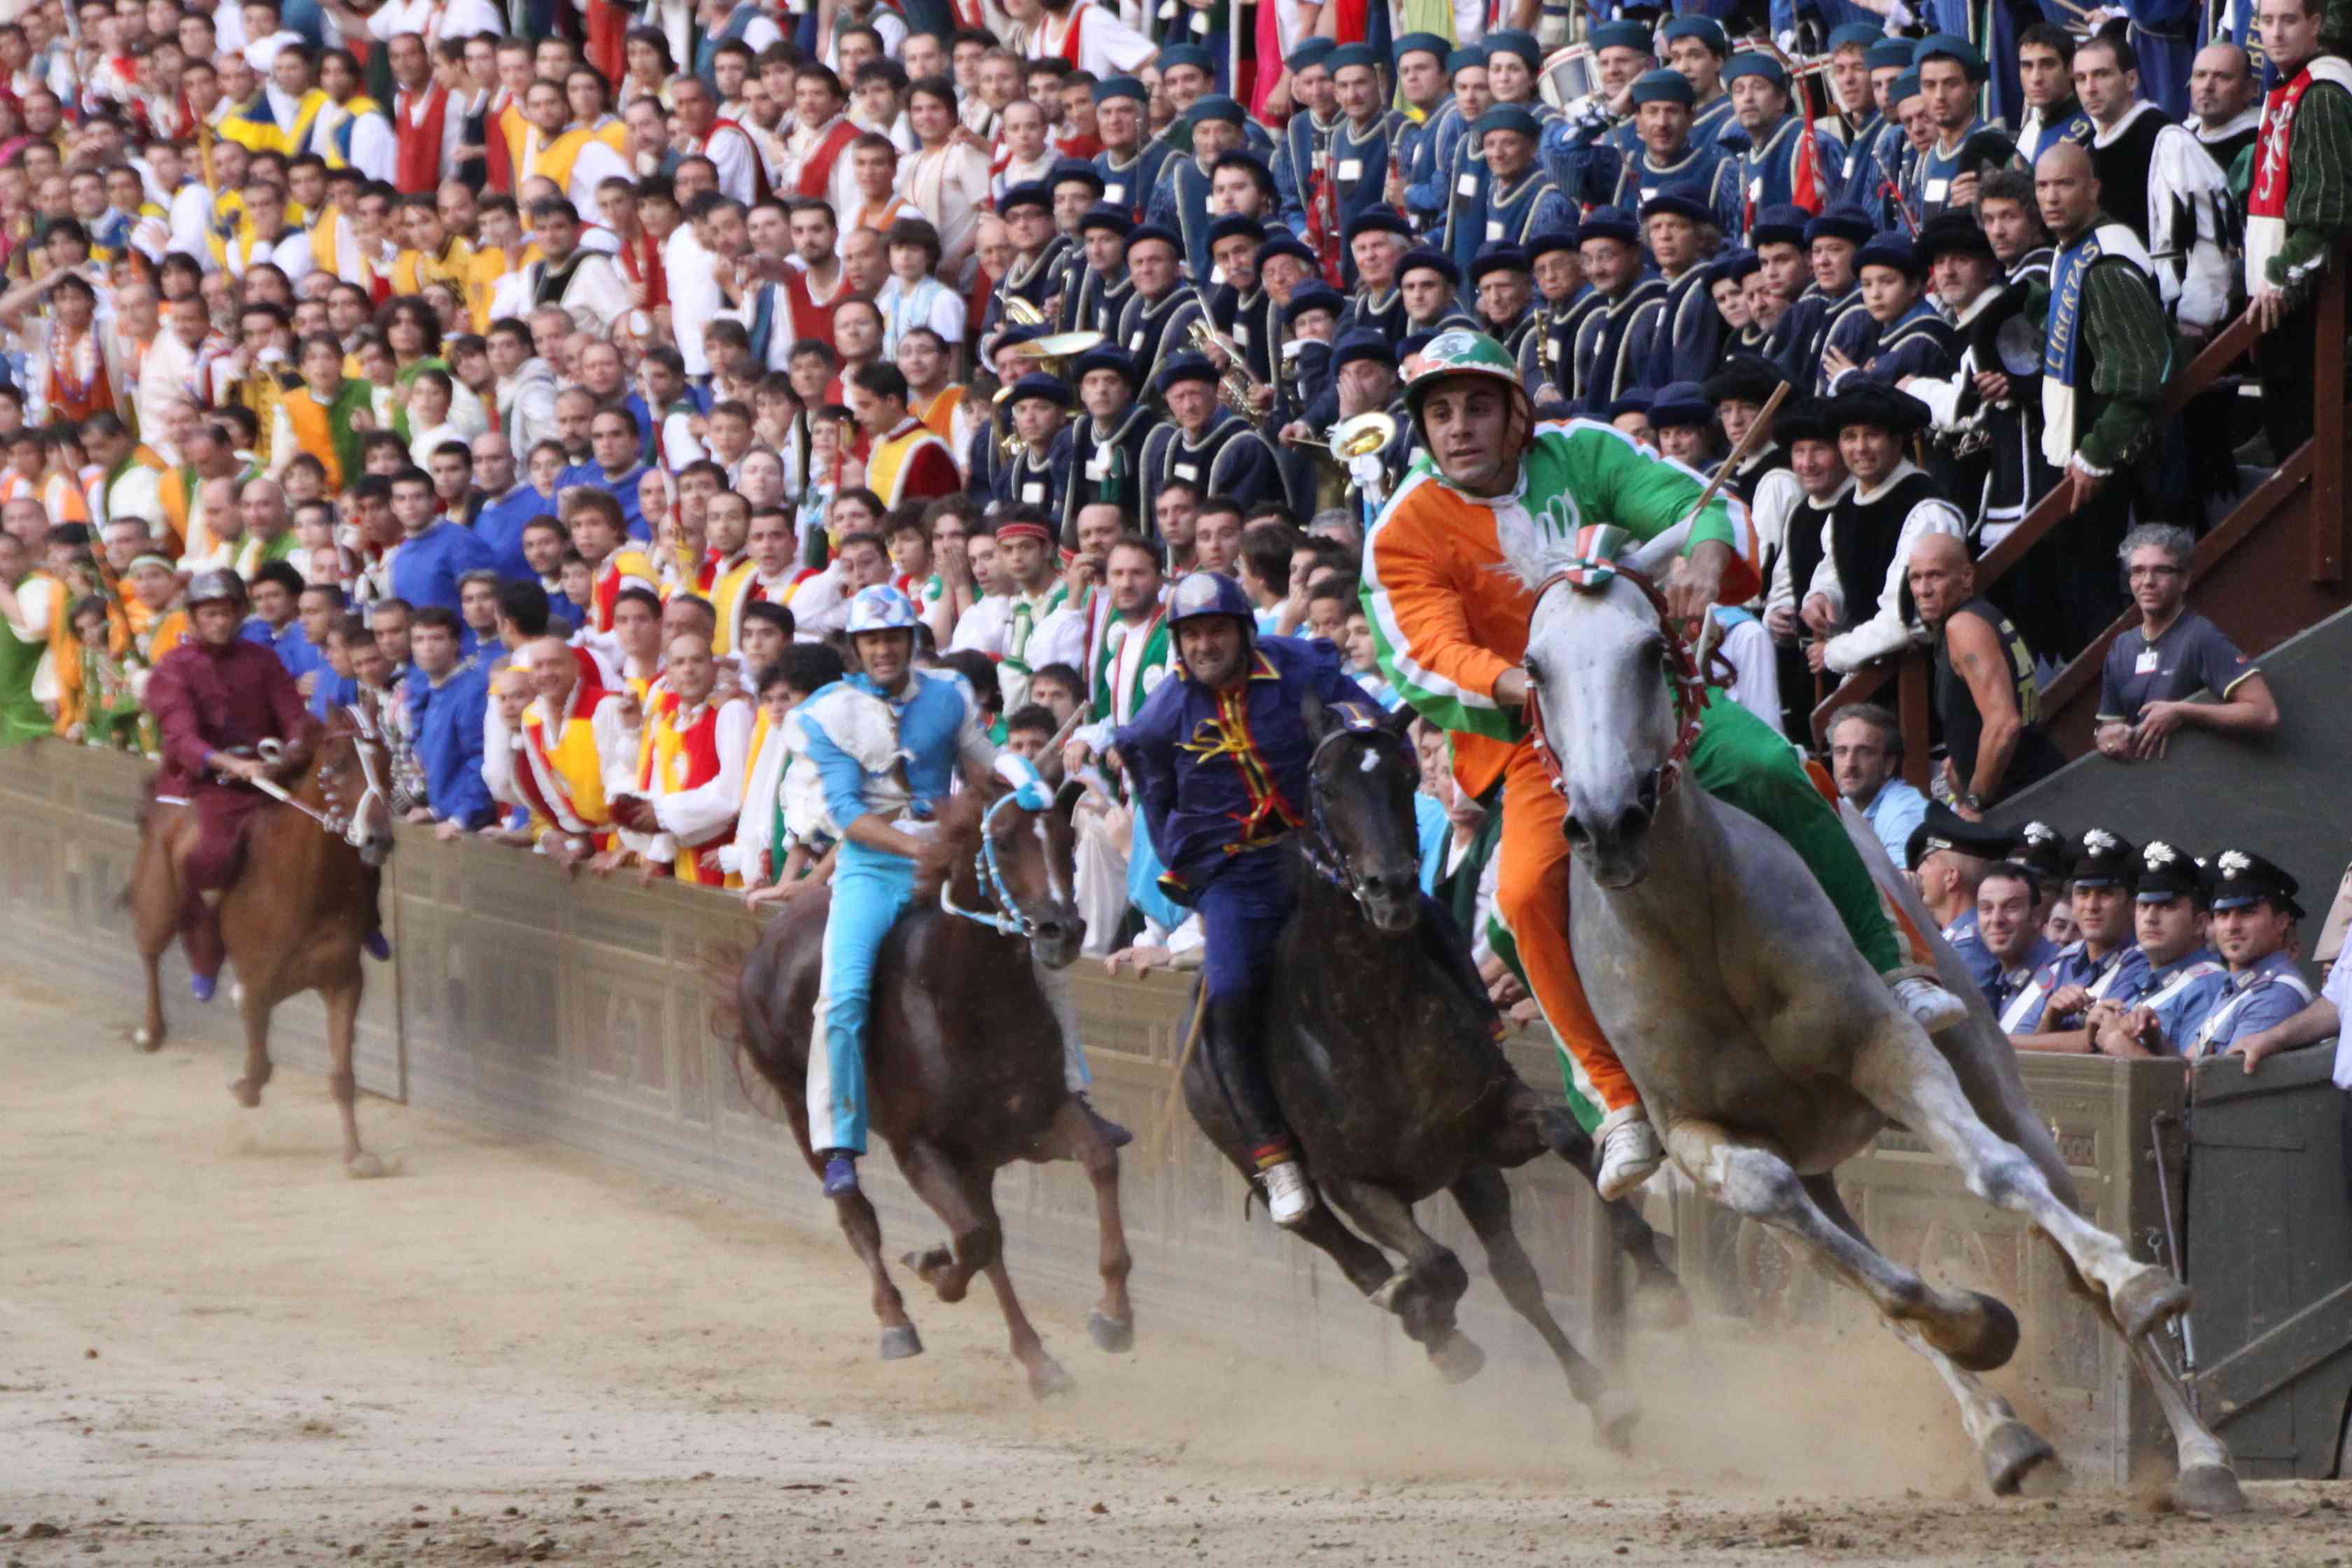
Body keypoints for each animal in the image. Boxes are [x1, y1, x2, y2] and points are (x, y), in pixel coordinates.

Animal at [125, 705, 397, 1170]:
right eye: (337, 765)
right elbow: (258, 1059)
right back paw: (152, 1030)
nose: (378, 837)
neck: (303, 887)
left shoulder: (344, 980)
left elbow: (342, 1074)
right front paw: (245, 1087)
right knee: (149, 950)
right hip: (158, 897)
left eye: (387, 763)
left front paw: (357, 1155)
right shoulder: (257, 983)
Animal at [734, 771, 1138, 1401]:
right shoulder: (919, 1147)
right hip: (803, 1113)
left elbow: (1097, 1161)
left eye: (1067, 841)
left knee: (989, 1236)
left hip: (977, 1159)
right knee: (858, 1216)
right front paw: (930, 1266)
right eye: (1002, 841)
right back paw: (896, 1322)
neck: (969, 998)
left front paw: (1114, 1316)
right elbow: (972, 1239)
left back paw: (1037, 1360)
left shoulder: (1034, 1120)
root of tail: (764, 945)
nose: (1062, 931)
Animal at [1185, 700, 1665, 1448]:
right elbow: (1436, 1263)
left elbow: (1562, 1137)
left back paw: (1601, 1398)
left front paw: (1655, 1271)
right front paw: (1422, 1304)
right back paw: (1424, 1317)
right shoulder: (1356, 1184)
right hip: (1256, 1164)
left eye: (1406, 775)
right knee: (1342, 1248)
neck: (1371, 1014)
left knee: (1514, 1276)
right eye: (1324, 786)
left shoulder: (1483, 1129)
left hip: (1465, 1172)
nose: (1392, 889)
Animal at [1505, 524, 2239, 1523]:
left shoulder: (1888, 1049)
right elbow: (1856, 1267)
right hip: (1808, 1172)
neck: (1698, 932)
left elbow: (1997, 1176)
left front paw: (2129, 1282)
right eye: (1535, 668)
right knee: (1844, 1260)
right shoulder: (1700, 1137)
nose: (1609, 821)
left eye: (1653, 650)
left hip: (1987, 1065)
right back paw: (2003, 1434)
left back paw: (2198, 1447)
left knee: (2062, 1242)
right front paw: (1977, 1324)